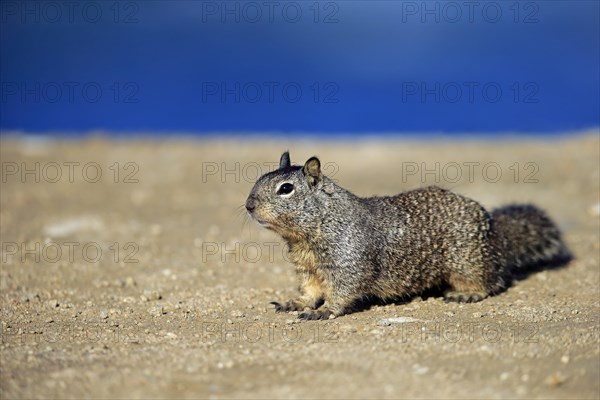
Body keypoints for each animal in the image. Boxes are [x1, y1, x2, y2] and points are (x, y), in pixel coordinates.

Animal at [245, 152, 572, 320]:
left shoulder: (347, 260)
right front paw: (295, 303)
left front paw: (325, 310)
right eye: (259, 179)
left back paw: (466, 293)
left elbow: (343, 289)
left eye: (285, 189)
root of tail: (497, 234)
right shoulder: (308, 268)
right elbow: (310, 290)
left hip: (467, 262)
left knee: (491, 282)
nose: (248, 205)